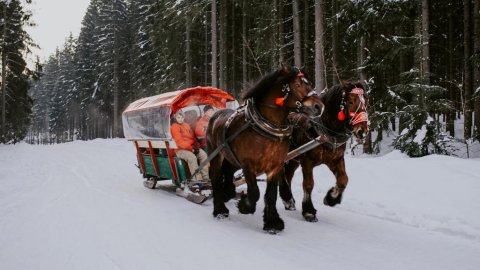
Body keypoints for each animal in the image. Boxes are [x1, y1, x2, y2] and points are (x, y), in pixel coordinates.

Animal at [205, 66, 322, 233]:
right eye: (298, 85)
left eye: (310, 83)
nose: (319, 106)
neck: (267, 128)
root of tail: (215, 115)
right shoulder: (248, 165)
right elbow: (255, 192)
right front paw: (244, 206)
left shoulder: (276, 166)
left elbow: (271, 194)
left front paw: (272, 223)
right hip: (215, 154)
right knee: (215, 178)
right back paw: (220, 210)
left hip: (232, 158)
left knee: (227, 172)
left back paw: (228, 192)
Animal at [280, 81, 370, 221]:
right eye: (350, 102)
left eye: (366, 102)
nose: (362, 131)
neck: (325, 130)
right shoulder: (307, 161)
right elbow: (308, 184)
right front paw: (309, 211)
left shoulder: (335, 159)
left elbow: (343, 180)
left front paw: (331, 198)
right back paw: (287, 197)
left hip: (294, 160)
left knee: (288, 175)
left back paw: (288, 201)